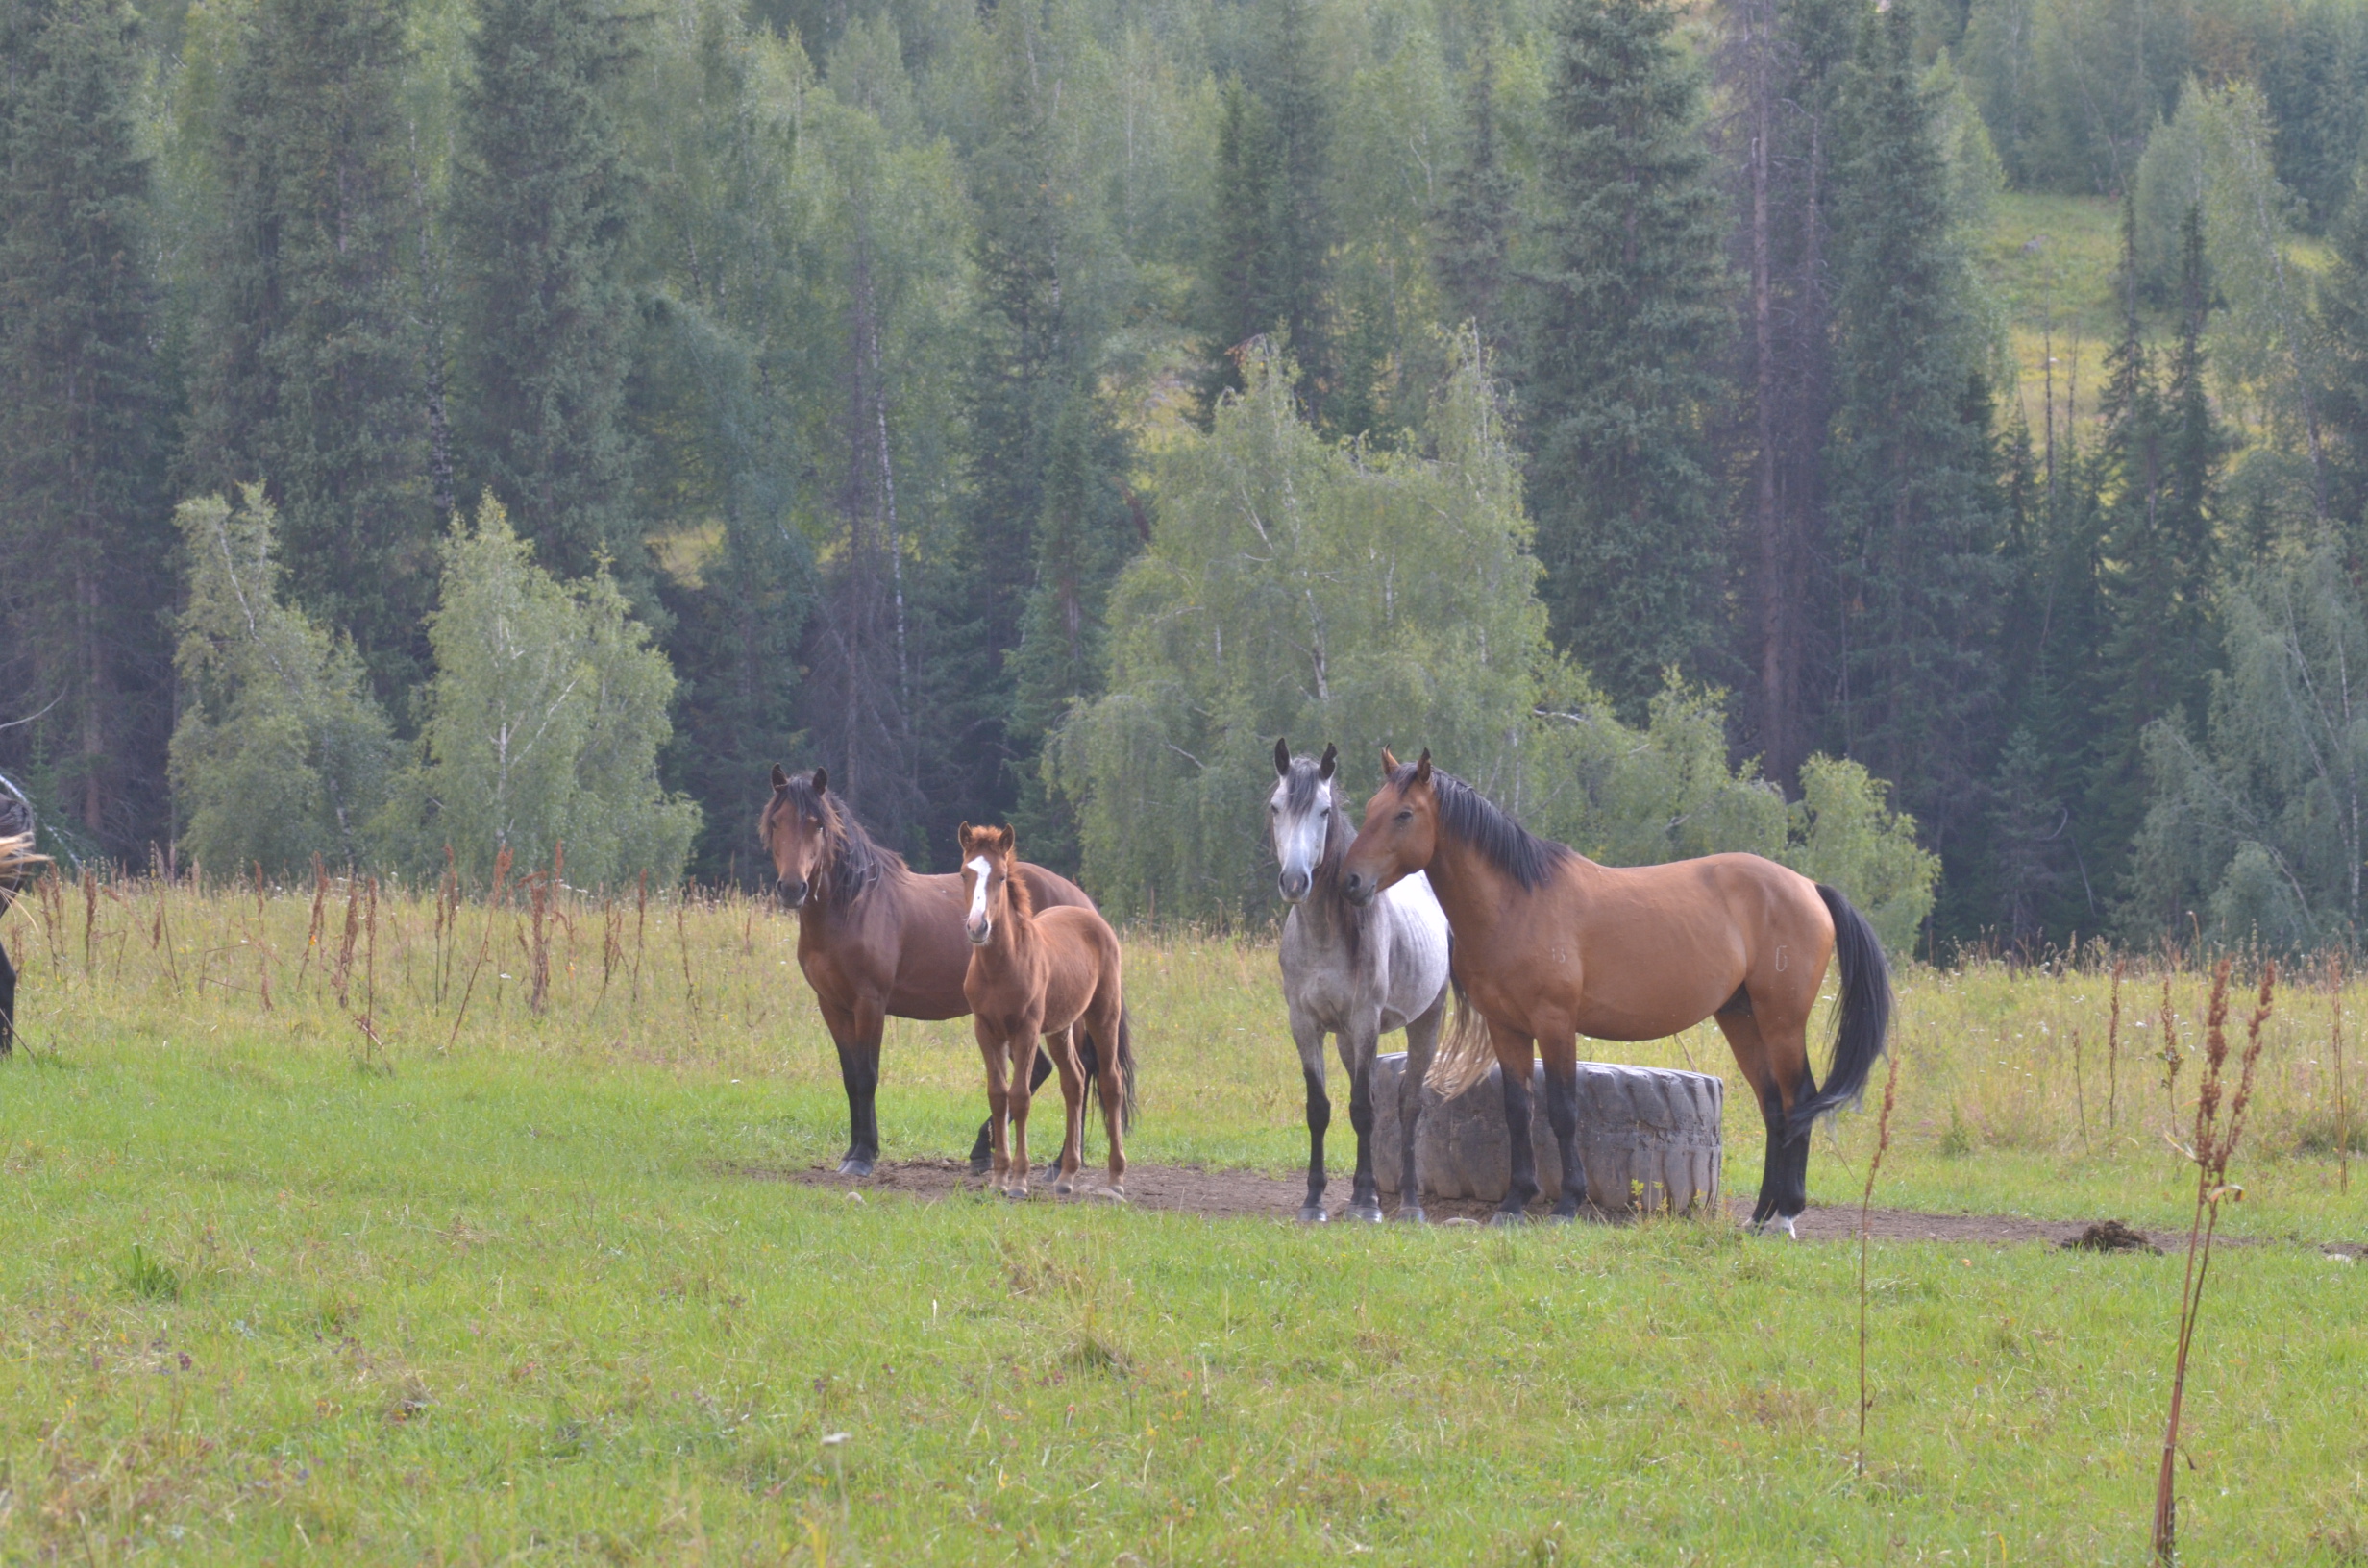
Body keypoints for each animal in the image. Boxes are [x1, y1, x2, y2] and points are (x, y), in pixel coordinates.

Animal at [758, 765, 1116, 1176]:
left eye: (817, 824)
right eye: (776, 822)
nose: (792, 888)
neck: (854, 907)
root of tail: (1080, 901)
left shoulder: (870, 1004)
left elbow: (867, 1076)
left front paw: (864, 1156)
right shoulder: (832, 1005)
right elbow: (851, 1077)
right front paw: (852, 1153)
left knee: (1080, 1070)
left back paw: (1059, 1161)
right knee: (1047, 1070)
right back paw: (985, 1152)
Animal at [958, 823, 1133, 1200]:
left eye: (1002, 876)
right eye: (964, 873)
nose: (977, 926)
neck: (1001, 966)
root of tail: (1091, 914)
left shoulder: (1025, 1030)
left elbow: (1020, 1097)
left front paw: (1019, 1181)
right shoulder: (986, 1030)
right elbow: (998, 1096)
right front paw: (998, 1178)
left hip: (1103, 1014)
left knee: (1110, 1082)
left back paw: (1115, 1180)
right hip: (1061, 1028)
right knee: (1075, 1081)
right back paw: (1066, 1176)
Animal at [1269, 739, 1451, 1223]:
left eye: (1324, 811)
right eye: (1275, 807)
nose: (1295, 881)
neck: (1323, 934)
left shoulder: (1366, 1020)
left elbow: (1366, 1110)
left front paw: (1369, 1204)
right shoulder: (1306, 1025)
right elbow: (1322, 1108)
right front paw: (1314, 1203)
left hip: (1425, 1021)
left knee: (1408, 1104)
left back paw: (1409, 1204)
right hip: (1345, 1039)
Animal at [1339, 749, 1891, 1233]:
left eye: (1404, 814)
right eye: (1369, 810)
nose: (1351, 881)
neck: (1518, 902)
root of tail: (1809, 887)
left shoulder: (1555, 1022)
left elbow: (1563, 1111)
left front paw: (1567, 1204)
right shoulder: (1506, 1027)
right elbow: (1518, 1112)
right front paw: (1515, 1203)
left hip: (1782, 1022)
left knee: (1800, 1100)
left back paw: (1785, 1215)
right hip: (1742, 1020)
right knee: (1775, 1108)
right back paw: (1758, 1217)